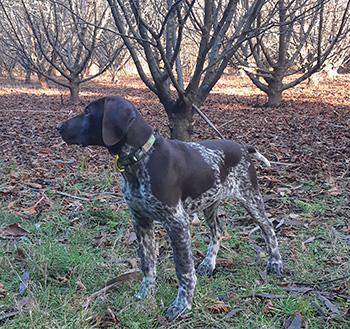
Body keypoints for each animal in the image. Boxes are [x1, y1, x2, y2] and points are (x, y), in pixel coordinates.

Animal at [56, 95, 282, 320]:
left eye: (87, 111)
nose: (58, 126)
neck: (140, 159)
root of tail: (242, 147)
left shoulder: (177, 222)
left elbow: (183, 269)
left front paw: (182, 304)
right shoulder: (141, 222)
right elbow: (147, 265)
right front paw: (145, 296)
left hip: (250, 198)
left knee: (268, 228)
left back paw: (275, 263)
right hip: (210, 202)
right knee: (217, 230)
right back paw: (209, 264)